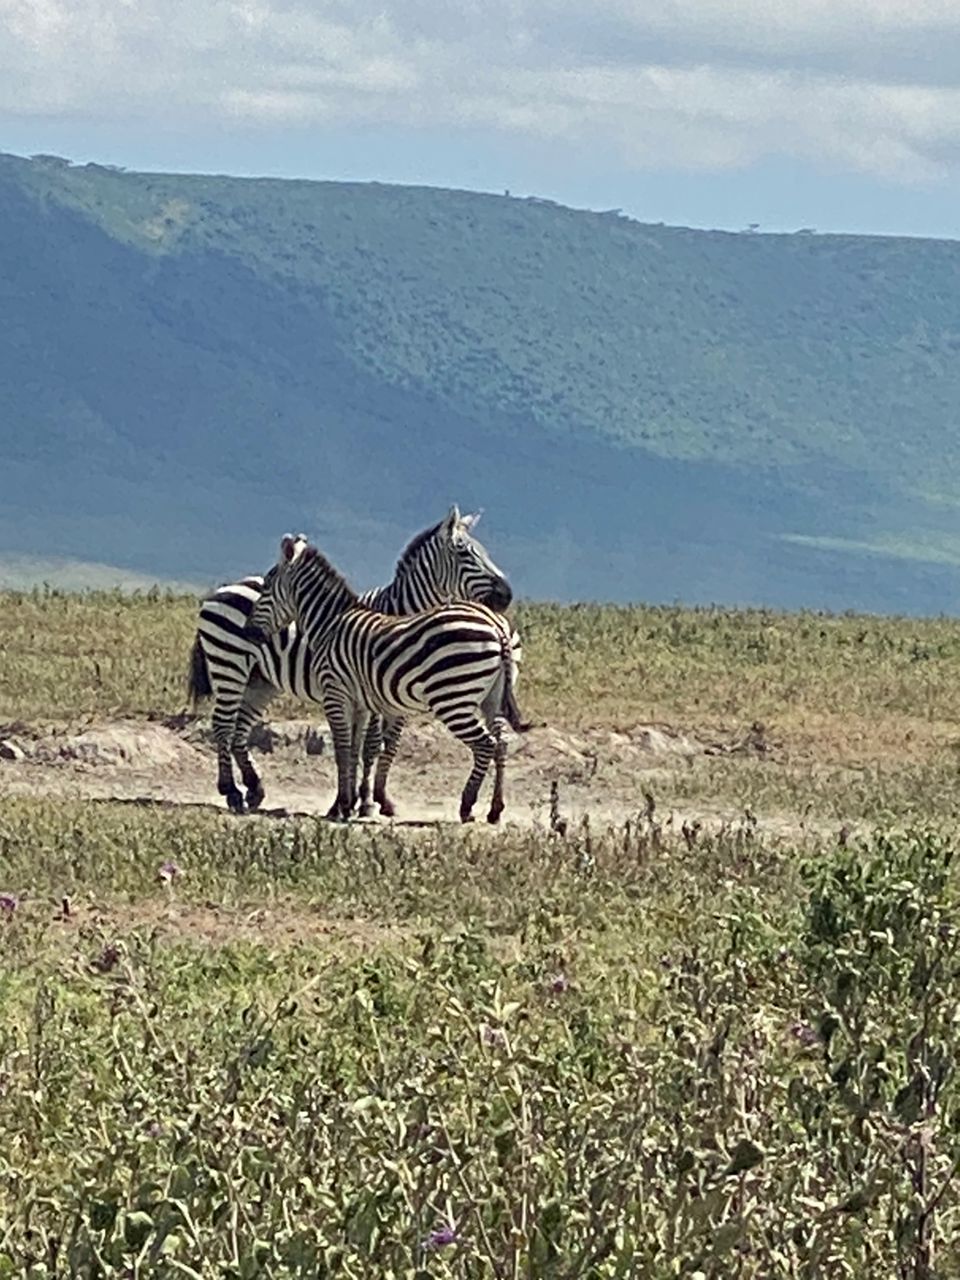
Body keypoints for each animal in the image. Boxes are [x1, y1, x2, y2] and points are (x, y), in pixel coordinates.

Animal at [187, 506, 517, 815]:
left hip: (261, 681)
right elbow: (366, 747)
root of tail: (224, 588)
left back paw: (253, 788)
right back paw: (231, 791)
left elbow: (386, 746)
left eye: (484, 552)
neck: (399, 613)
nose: (507, 596)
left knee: (239, 729)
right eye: (464, 552)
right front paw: (360, 801)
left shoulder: (392, 698)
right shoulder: (370, 694)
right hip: (229, 665)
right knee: (223, 724)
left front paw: (375, 799)